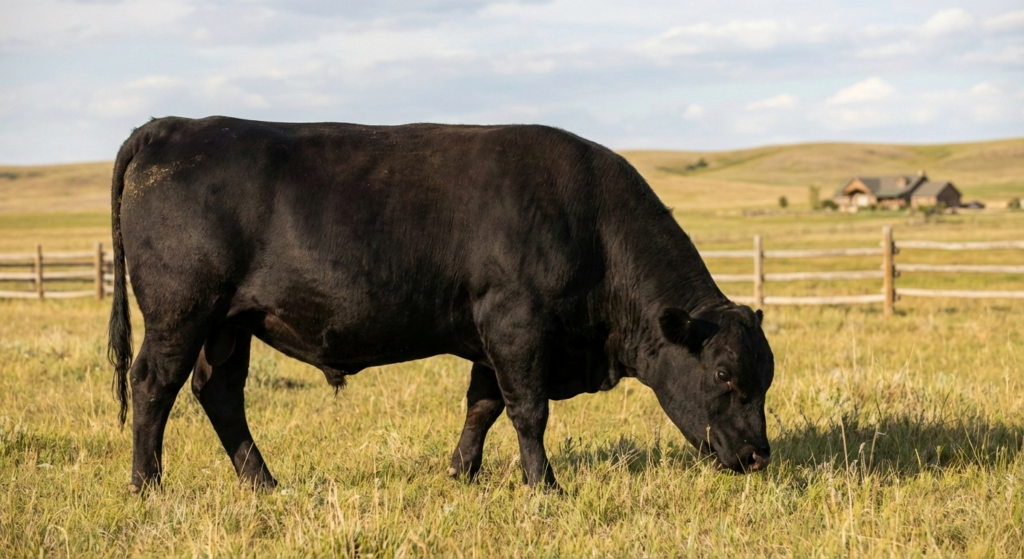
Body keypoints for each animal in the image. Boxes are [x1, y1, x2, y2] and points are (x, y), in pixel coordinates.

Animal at [108, 116, 774, 492]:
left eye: (766, 378)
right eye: (723, 374)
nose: (757, 457)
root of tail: (171, 125)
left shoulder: (489, 336)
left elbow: (484, 406)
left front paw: (461, 473)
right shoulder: (516, 325)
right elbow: (528, 411)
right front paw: (545, 487)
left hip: (229, 324)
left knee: (218, 392)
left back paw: (264, 484)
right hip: (181, 312)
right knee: (153, 385)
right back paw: (147, 484)